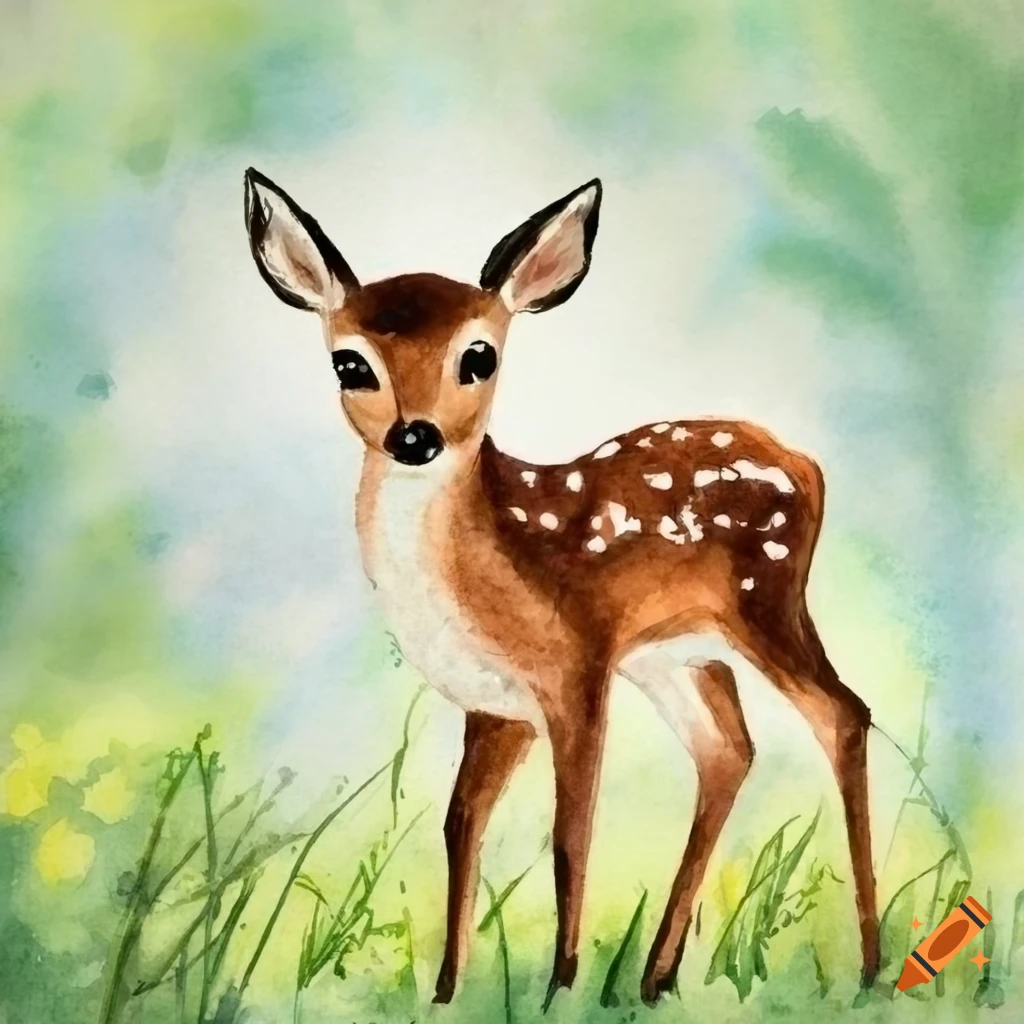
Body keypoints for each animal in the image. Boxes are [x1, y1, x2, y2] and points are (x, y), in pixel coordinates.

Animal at [242, 167, 880, 1008]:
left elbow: (570, 834)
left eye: (478, 357)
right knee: (729, 749)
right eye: (352, 365)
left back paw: (870, 967)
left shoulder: (575, 669)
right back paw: (655, 979)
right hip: (675, 654)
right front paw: (446, 992)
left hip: (765, 602)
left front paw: (558, 988)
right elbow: (461, 825)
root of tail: (805, 464)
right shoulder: (496, 705)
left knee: (842, 714)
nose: (415, 436)